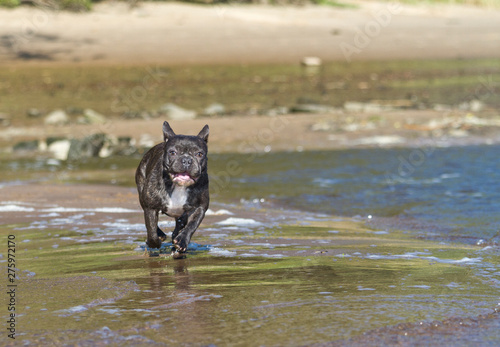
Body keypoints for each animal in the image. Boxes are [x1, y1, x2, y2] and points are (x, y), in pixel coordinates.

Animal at [135, 122, 209, 258]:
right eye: (172, 152)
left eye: (199, 154)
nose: (186, 160)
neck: (179, 186)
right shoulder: (150, 207)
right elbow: (151, 229)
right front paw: (154, 242)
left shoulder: (200, 207)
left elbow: (192, 225)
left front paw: (182, 241)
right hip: (142, 194)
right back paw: (160, 235)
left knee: (180, 225)